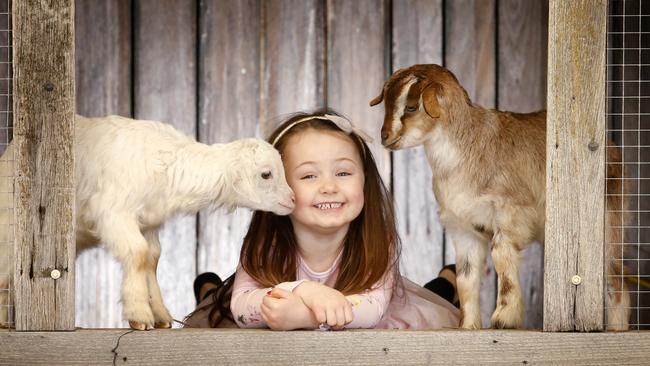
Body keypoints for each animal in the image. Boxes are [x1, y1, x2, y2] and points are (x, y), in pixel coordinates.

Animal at [0, 116, 294, 330]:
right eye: (266, 174)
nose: (292, 200)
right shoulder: (114, 213)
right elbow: (138, 254)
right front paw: (139, 313)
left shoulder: (149, 223)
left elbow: (151, 258)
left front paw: (160, 314)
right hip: (9, 226)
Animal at [370, 64, 628, 330]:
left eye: (411, 106)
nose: (384, 136)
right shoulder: (463, 228)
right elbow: (466, 277)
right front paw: (468, 325)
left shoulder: (509, 213)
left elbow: (502, 258)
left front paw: (504, 318)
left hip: (609, 220)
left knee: (614, 274)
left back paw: (617, 327)